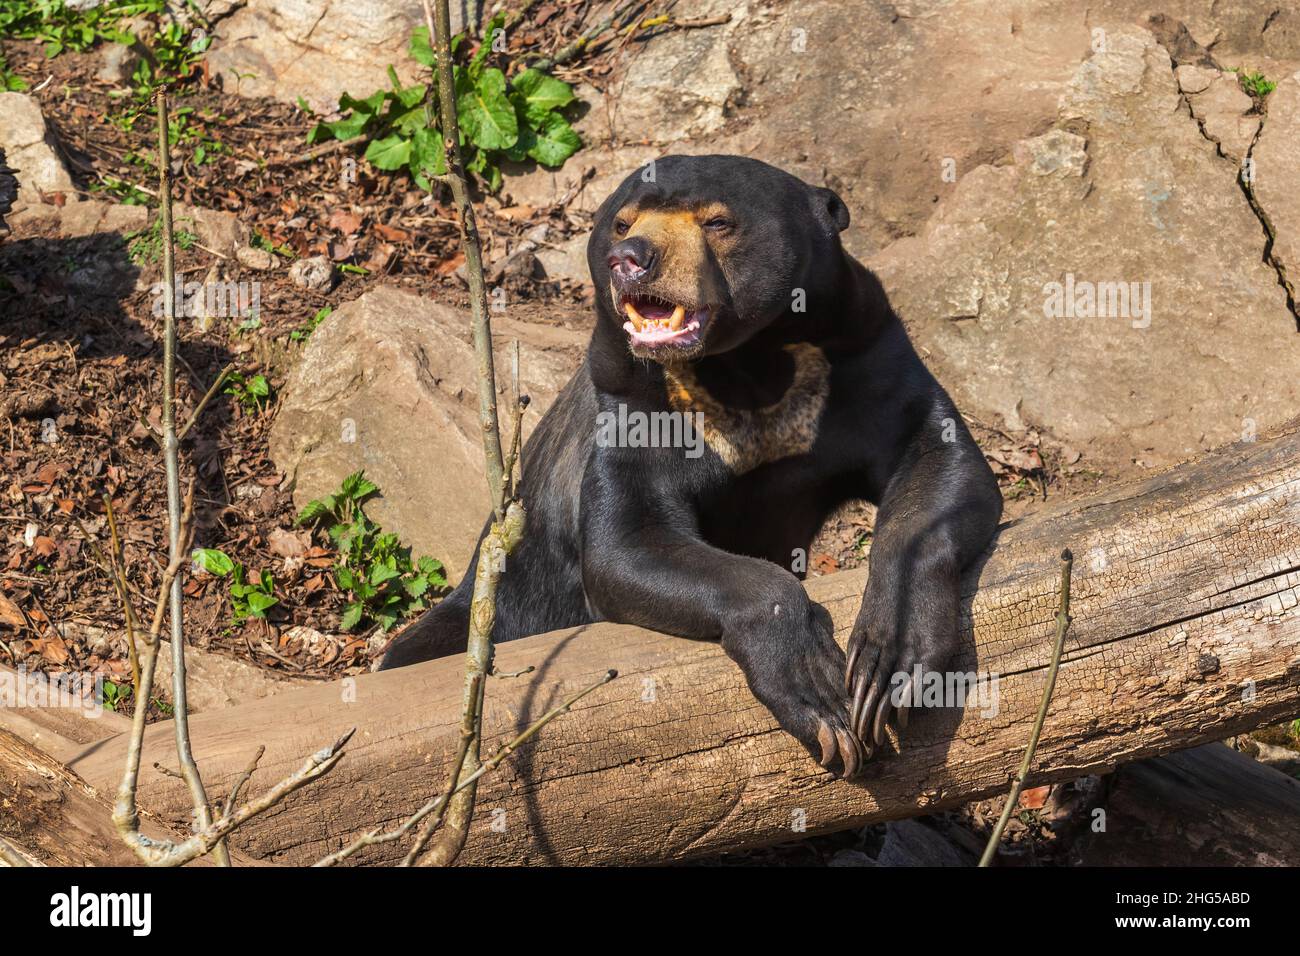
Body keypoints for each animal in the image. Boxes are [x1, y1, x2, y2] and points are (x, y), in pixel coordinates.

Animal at [379, 151, 998, 780]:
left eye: (718, 222)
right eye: (622, 223)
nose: (629, 260)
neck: (748, 364)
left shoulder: (864, 351)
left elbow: (937, 457)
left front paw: (888, 668)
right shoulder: (631, 401)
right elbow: (628, 542)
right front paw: (820, 695)